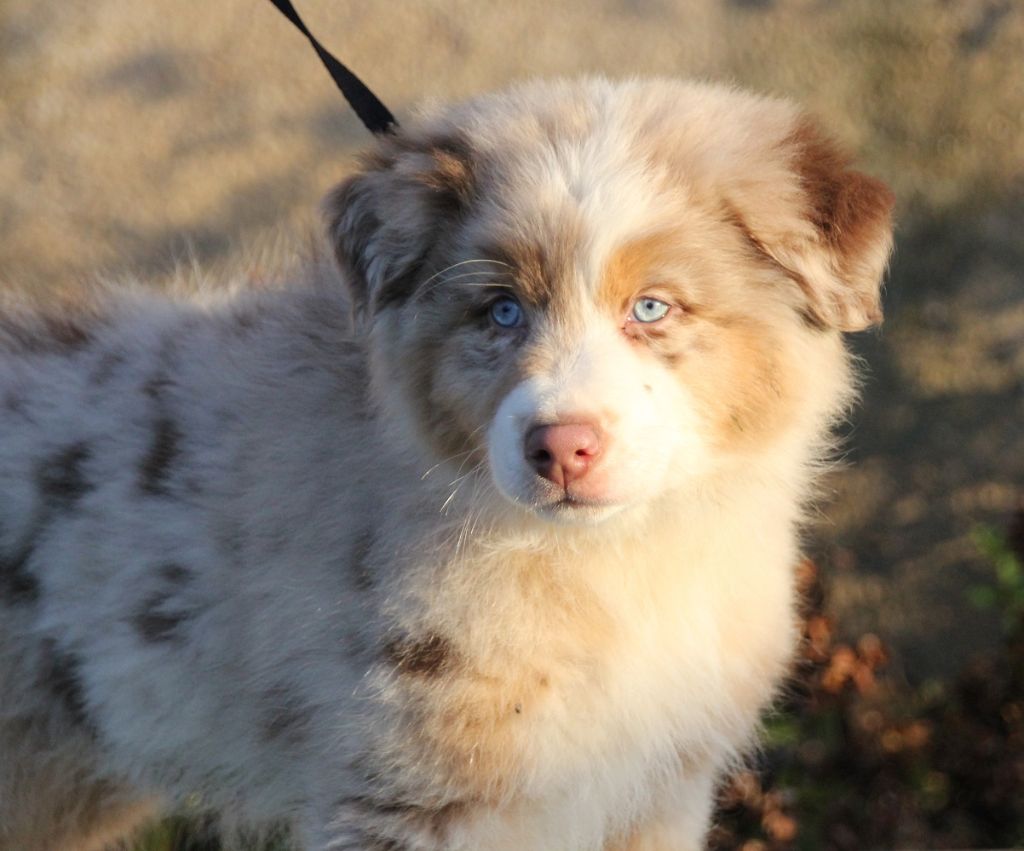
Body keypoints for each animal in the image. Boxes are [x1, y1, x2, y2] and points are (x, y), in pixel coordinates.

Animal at [0, 76, 892, 847]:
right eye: (501, 311)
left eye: (651, 307)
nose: (559, 447)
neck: (615, 564)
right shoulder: (420, 797)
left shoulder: (660, 788)